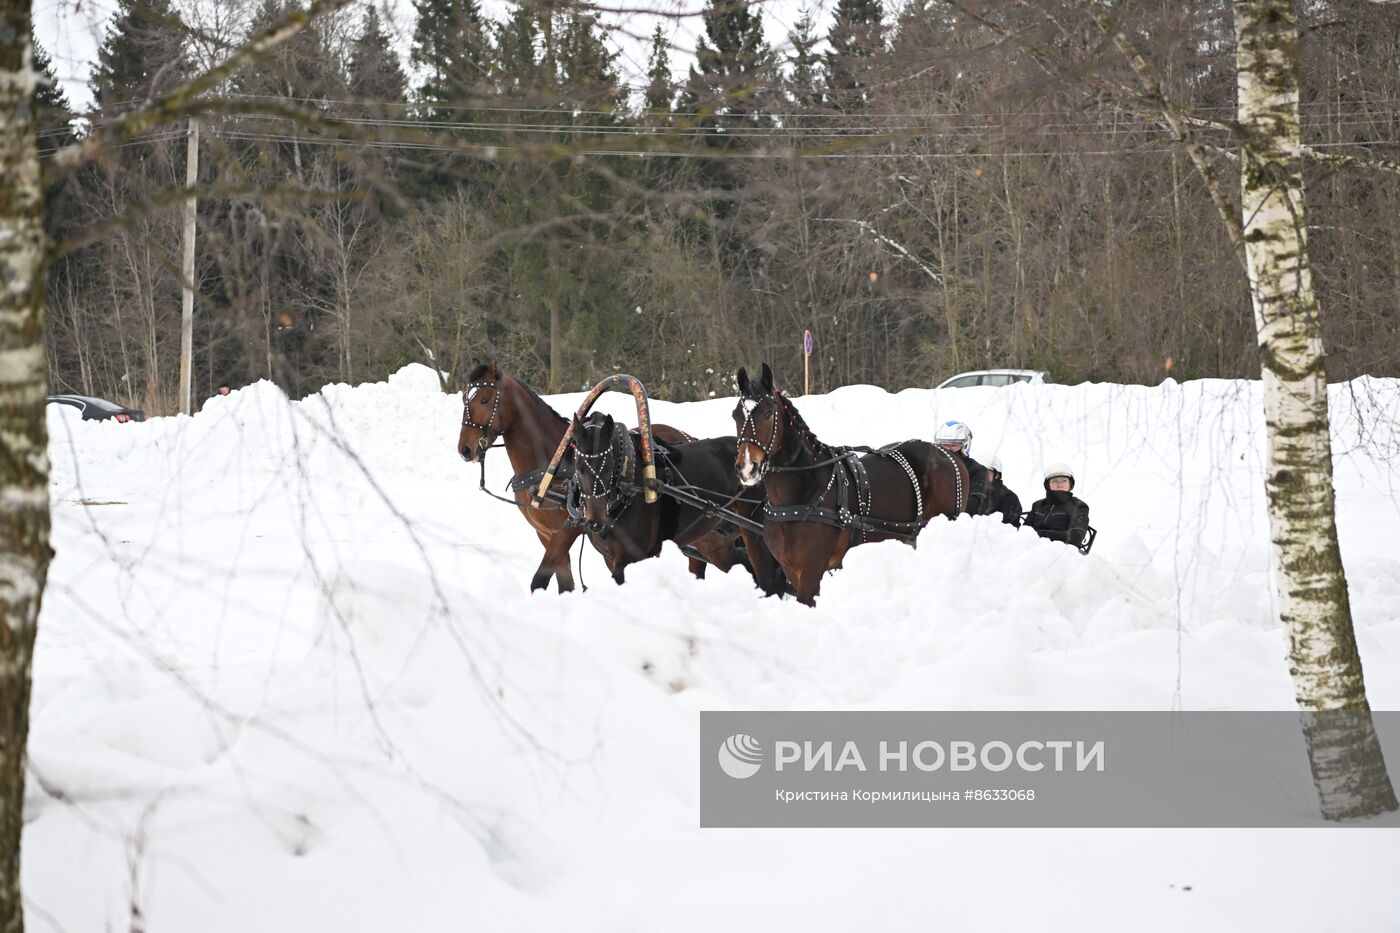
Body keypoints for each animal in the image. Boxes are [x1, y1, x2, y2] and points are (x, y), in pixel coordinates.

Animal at [456, 358, 705, 591]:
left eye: (485, 399)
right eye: (465, 399)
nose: (465, 449)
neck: (553, 466)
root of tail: (690, 437)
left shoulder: (566, 531)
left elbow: (542, 578)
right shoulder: (544, 534)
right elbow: (563, 580)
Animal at [565, 411, 789, 591]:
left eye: (609, 465)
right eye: (579, 466)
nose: (595, 522)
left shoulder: (633, 557)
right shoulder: (611, 560)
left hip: (753, 532)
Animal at [728, 358, 968, 607]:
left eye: (767, 413)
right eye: (735, 415)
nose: (747, 467)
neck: (800, 495)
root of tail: (948, 455)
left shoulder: (812, 570)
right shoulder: (791, 568)